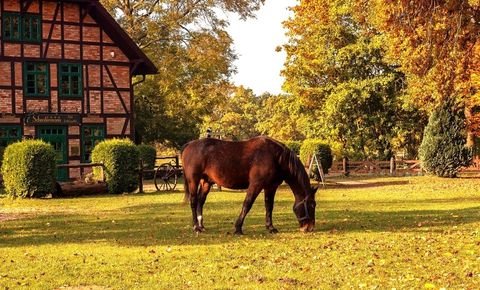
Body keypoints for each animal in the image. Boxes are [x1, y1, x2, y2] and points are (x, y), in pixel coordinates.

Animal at [182, 137, 316, 234]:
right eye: (312, 205)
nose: (309, 228)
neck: (275, 157)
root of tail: (189, 145)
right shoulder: (256, 185)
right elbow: (247, 204)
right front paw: (238, 228)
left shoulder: (270, 187)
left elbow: (269, 206)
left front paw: (270, 227)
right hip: (193, 181)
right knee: (194, 202)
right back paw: (196, 227)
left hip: (206, 183)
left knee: (200, 202)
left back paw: (201, 226)